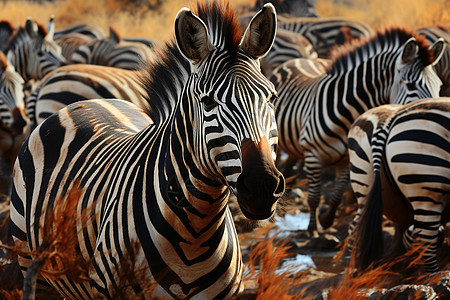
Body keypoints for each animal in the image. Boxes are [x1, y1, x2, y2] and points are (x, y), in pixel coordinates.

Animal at [9, 1, 284, 298]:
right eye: (208, 102)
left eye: (272, 97)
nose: (262, 185)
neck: (196, 232)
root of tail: (79, 105)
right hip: (33, 268)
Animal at [268, 27, 444, 234]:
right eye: (410, 85)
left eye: (439, 85)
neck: (346, 114)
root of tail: (297, 59)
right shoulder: (313, 156)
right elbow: (314, 197)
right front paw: (312, 228)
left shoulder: (346, 159)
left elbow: (336, 194)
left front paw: (326, 220)